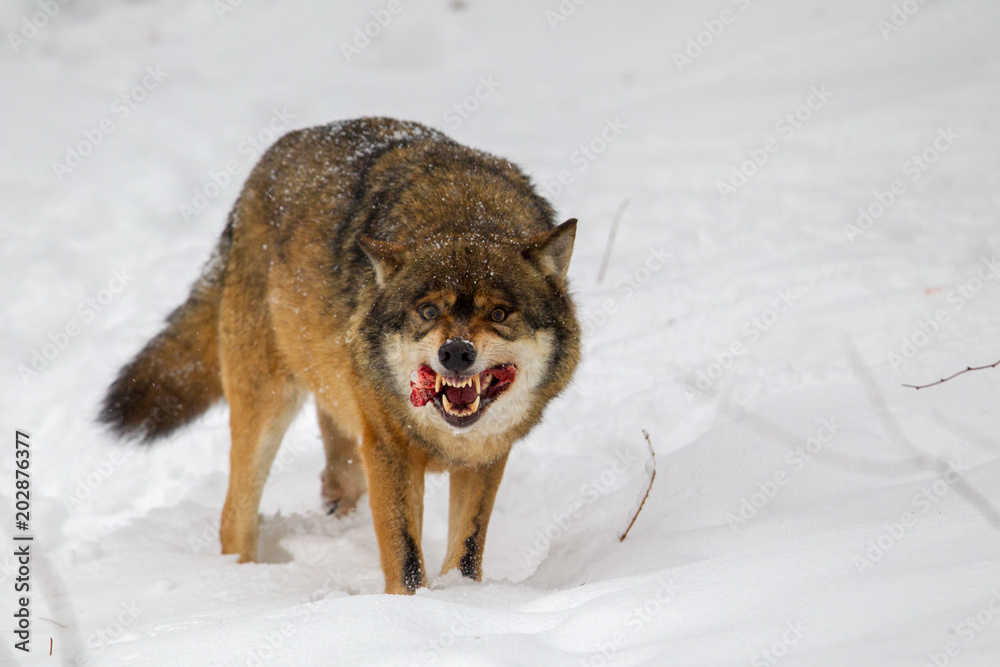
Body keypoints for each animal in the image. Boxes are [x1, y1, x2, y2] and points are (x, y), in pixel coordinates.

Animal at [99, 117, 581, 594]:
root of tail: (269, 160)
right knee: (233, 517)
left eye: (499, 313)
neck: (463, 207)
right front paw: (413, 604)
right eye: (427, 311)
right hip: (268, 408)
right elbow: (406, 558)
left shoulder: (485, 457)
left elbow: (465, 553)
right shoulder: (388, 448)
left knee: (336, 479)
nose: (456, 353)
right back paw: (244, 583)